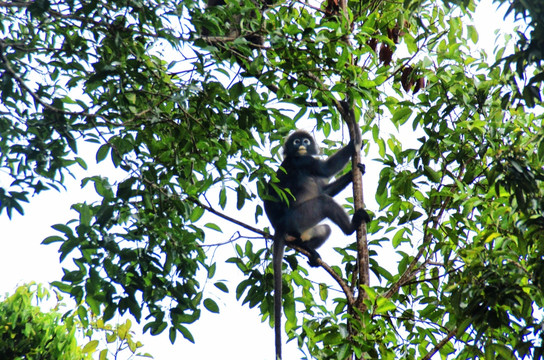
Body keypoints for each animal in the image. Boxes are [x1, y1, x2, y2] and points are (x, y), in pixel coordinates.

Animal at [262, 129, 370, 360]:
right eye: (296, 141)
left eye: (305, 140)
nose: (301, 144)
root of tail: (280, 226)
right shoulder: (303, 161)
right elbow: (325, 170)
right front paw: (354, 139)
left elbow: (326, 187)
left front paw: (355, 173)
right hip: (300, 217)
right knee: (323, 202)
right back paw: (352, 227)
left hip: (304, 227)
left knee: (325, 226)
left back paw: (310, 252)